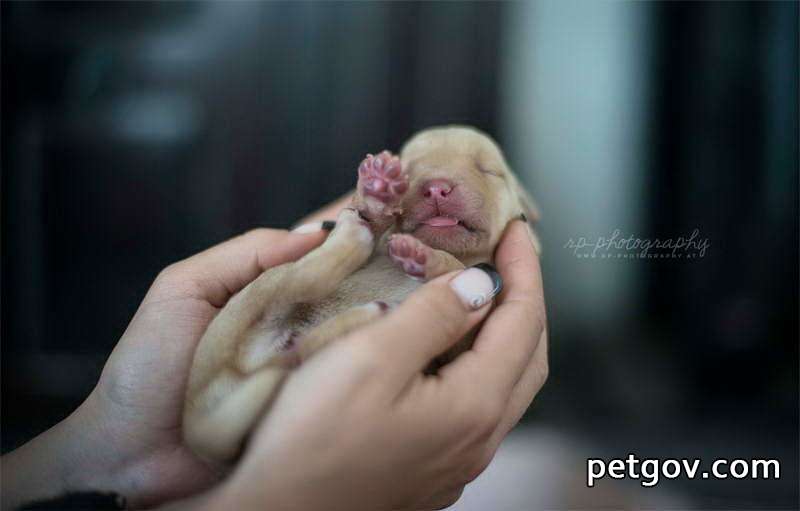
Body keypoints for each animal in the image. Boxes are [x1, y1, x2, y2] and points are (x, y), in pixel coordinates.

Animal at [184, 124, 540, 464]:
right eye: (410, 169)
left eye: (488, 170)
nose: (437, 187)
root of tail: (197, 417)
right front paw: (378, 204)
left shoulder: (462, 342)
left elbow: (455, 272)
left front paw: (424, 257)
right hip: (254, 295)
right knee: (302, 278)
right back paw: (367, 213)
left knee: (298, 349)